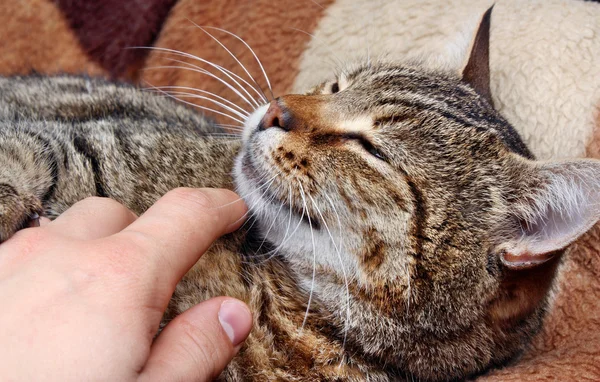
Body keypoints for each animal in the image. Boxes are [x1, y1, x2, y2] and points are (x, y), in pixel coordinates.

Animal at [1, 8, 600, 382]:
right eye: (336, 86)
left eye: (371, 149)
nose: (276, 107)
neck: (283, 308)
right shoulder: (61, 147)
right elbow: (21, 161)